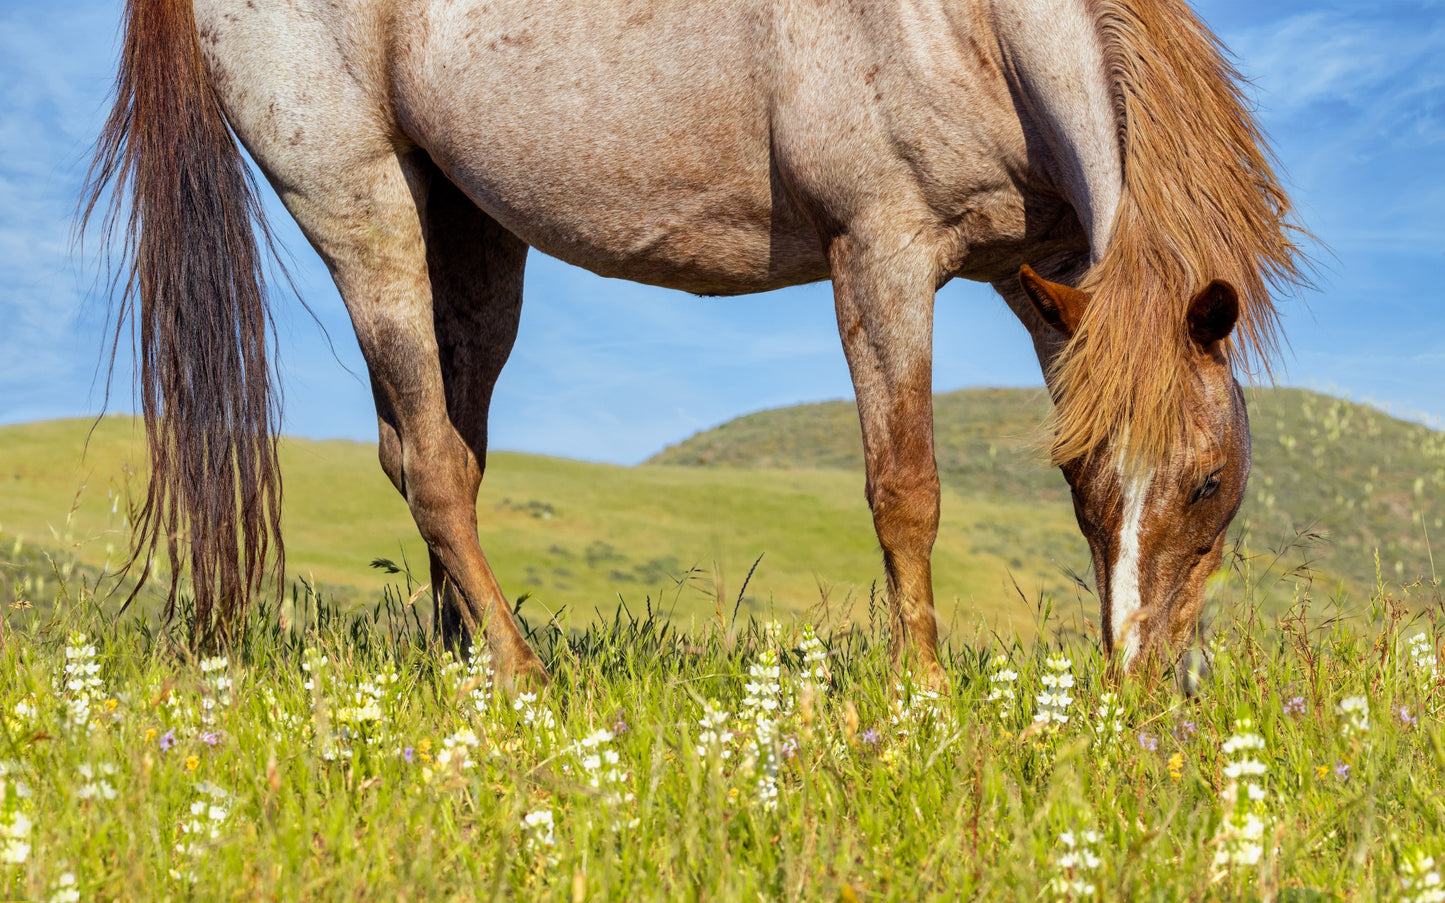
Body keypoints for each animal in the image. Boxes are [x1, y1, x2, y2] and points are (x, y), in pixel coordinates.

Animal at [87, 0, 1312, 681]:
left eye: (1209, 481)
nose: (1141, 685)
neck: (966, 27)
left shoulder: (1043, 276)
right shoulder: (880, 255)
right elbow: (903, 487)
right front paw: (919, 693)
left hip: (467, 230)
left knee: (434, 452)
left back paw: (460, 663)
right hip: (359, 203)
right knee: (430, 461)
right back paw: (521, 676)